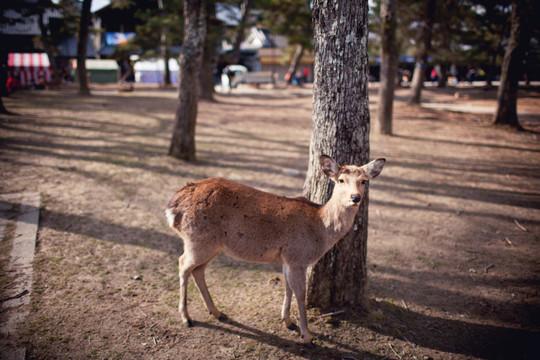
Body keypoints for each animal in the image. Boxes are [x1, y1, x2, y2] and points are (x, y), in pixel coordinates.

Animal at [165, 155, 384, 346]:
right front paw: (307, 336)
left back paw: (218, 313)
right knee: (183, 264)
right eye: (341, 179)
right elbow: (300, 294)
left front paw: (288, 322)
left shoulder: (287, 259)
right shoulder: (298, 257)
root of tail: (173, 206)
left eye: (364, 181)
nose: (355, 197)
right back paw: (187, 318)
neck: (320, 227)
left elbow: (287, 287)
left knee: (198, 270)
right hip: (197, 239)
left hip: (211, 245)